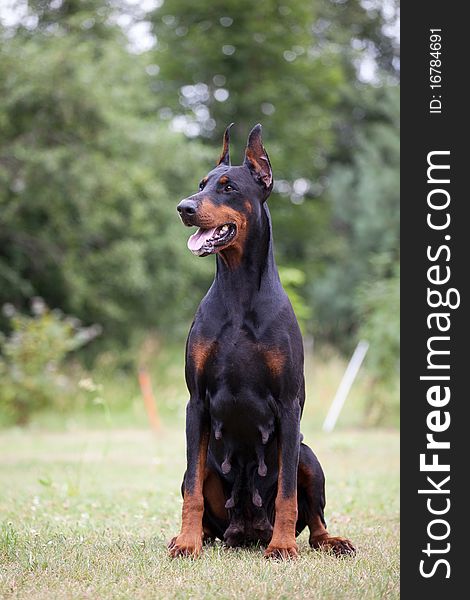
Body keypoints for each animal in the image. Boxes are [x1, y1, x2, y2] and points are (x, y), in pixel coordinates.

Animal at [168, 124, 352, 560]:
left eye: (228, 187)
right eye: (200, 185)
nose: (184, 207)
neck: (238, 295)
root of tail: (246, 530)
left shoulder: (288, 404)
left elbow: (287, 493)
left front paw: (282, 546)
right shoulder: (195, 403)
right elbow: (191, 491)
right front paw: (187, 543)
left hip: (307, 454)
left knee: (314, 519)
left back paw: (326, 541)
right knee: (196, 488)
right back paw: (193, 536)